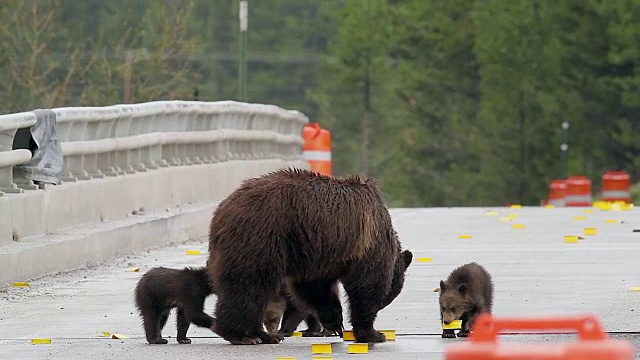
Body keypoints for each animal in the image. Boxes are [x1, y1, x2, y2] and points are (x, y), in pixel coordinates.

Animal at [208, 167, 412, 344]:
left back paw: (265, 335)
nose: (384, 303)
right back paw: (242, 335)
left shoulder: (319, 255)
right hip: (260, 237)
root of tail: (221, 212)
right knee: (249, 285)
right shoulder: (367, 242)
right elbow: (366, 285)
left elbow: (313, 287)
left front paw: (335, 323)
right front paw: (373, 334)